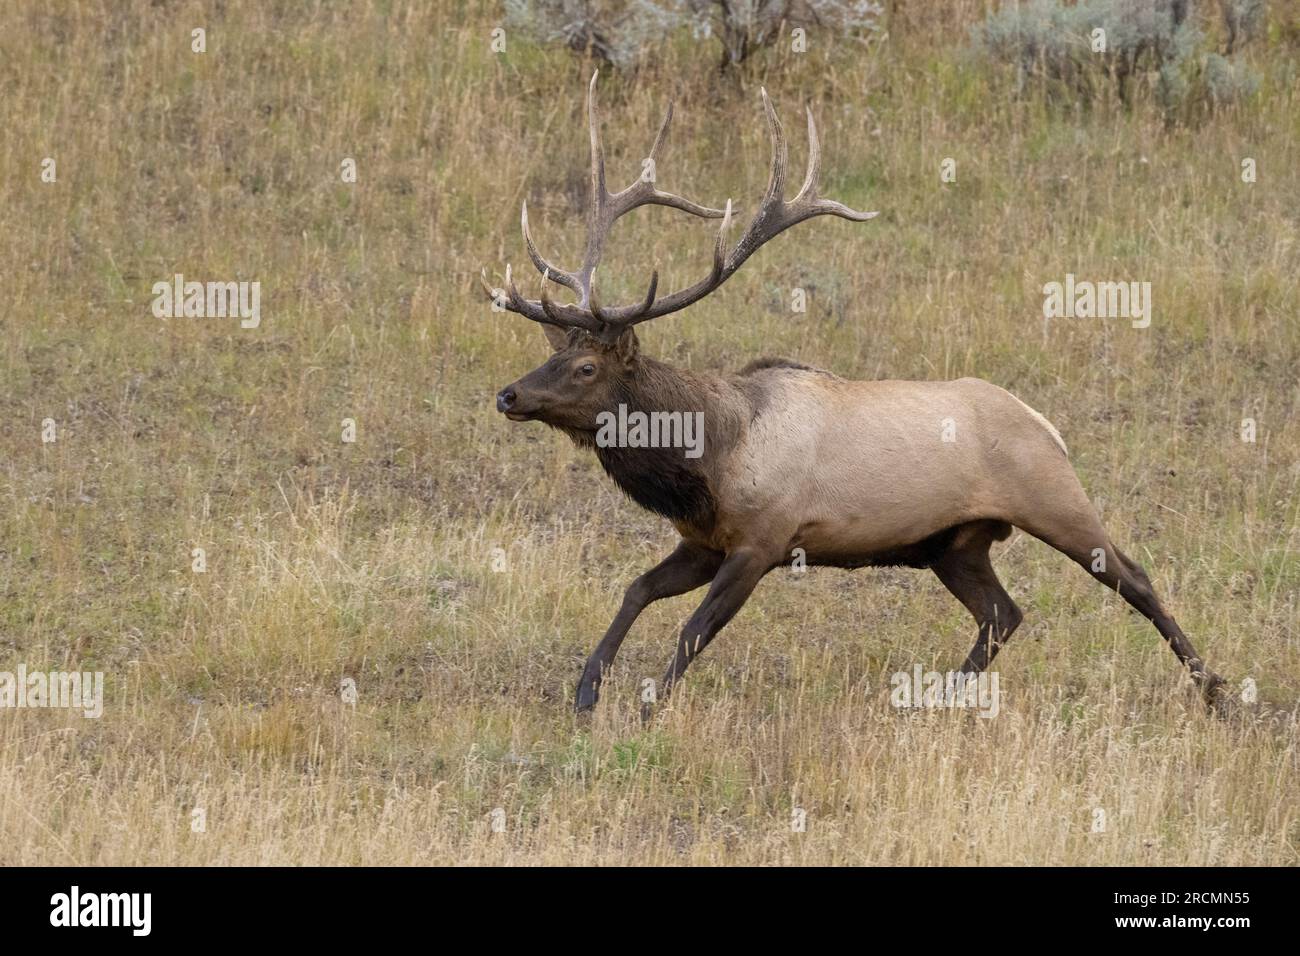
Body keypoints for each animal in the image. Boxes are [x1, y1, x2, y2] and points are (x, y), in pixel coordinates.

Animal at [483, 74, 1222, 712]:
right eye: (552, 354)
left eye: (585, 369)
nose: (509, 396)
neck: (710, 459)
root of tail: (1047, 424)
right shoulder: (704, 542)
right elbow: (636, 590)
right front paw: (586, 692)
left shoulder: (763, 541)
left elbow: (692, 631)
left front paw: (646, 708)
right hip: (953, 544)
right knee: (1004, 613)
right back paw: (937, 701)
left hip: (1054, 498)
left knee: (1135, 578)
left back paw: (1216, 691)